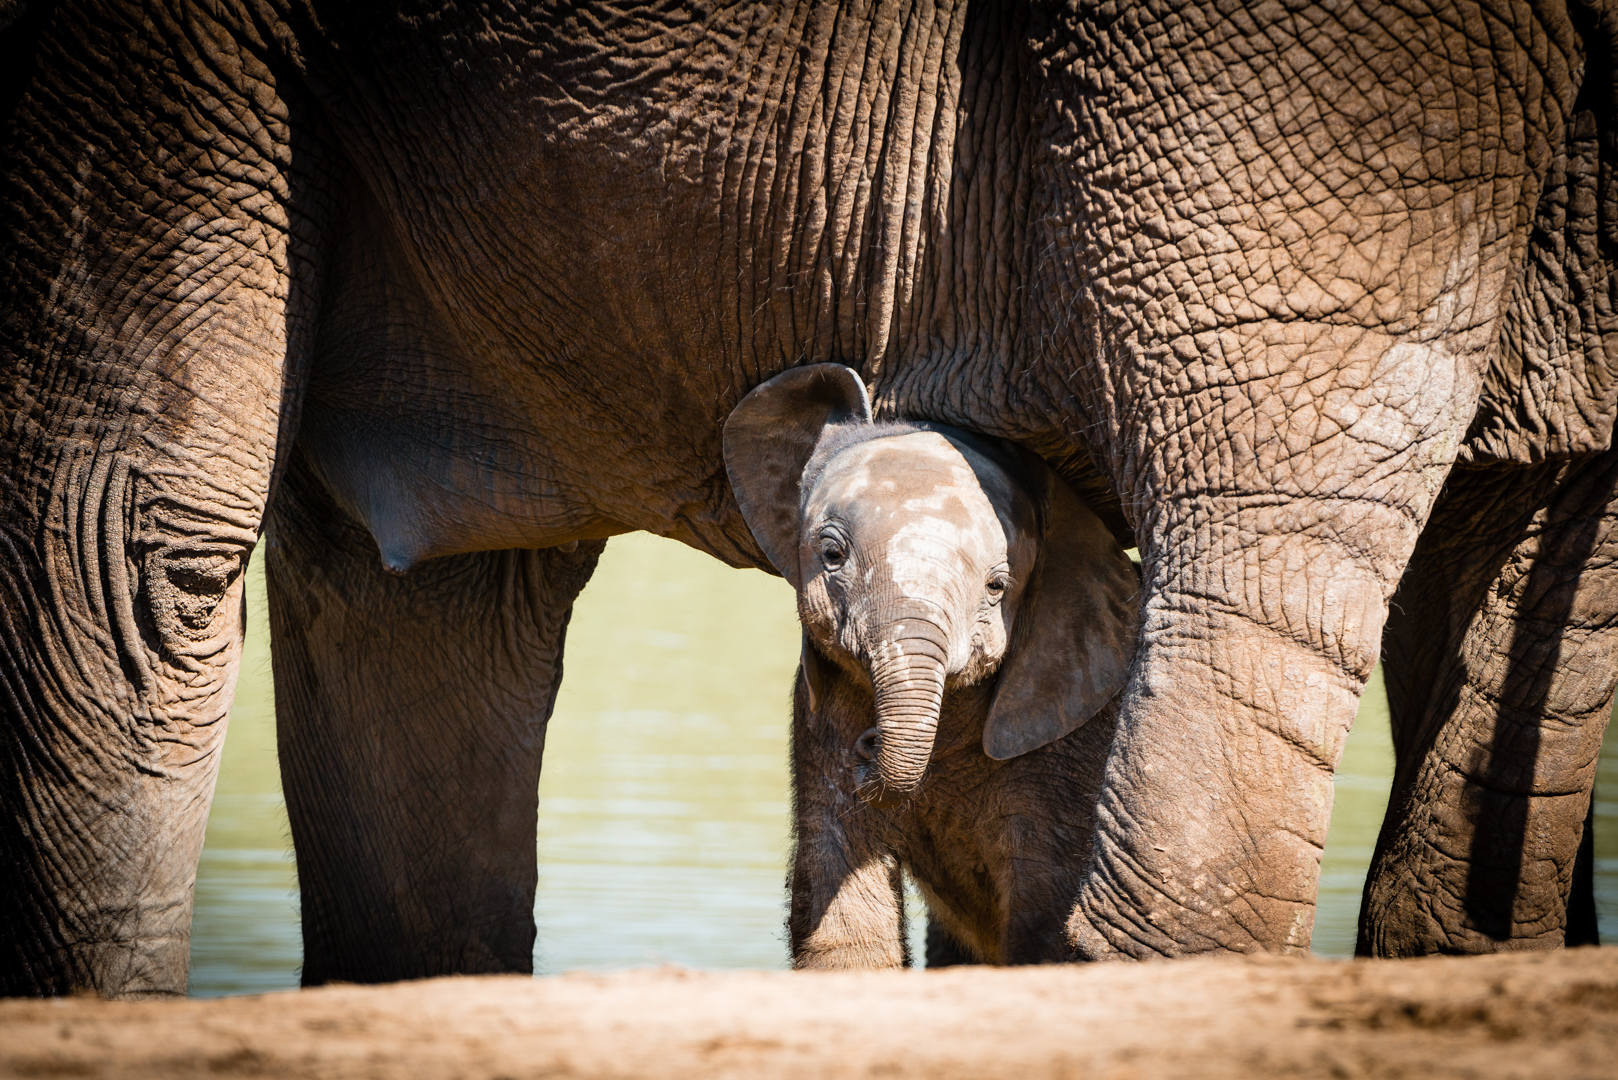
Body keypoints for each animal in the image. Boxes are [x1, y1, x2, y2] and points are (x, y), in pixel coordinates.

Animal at [721, 367, 1139, 965]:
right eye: (831, 555)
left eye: (998, 586)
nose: (868, 745)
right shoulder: (818, 721)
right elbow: (843, 912)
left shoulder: (1070, 751)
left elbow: (1041, 921)